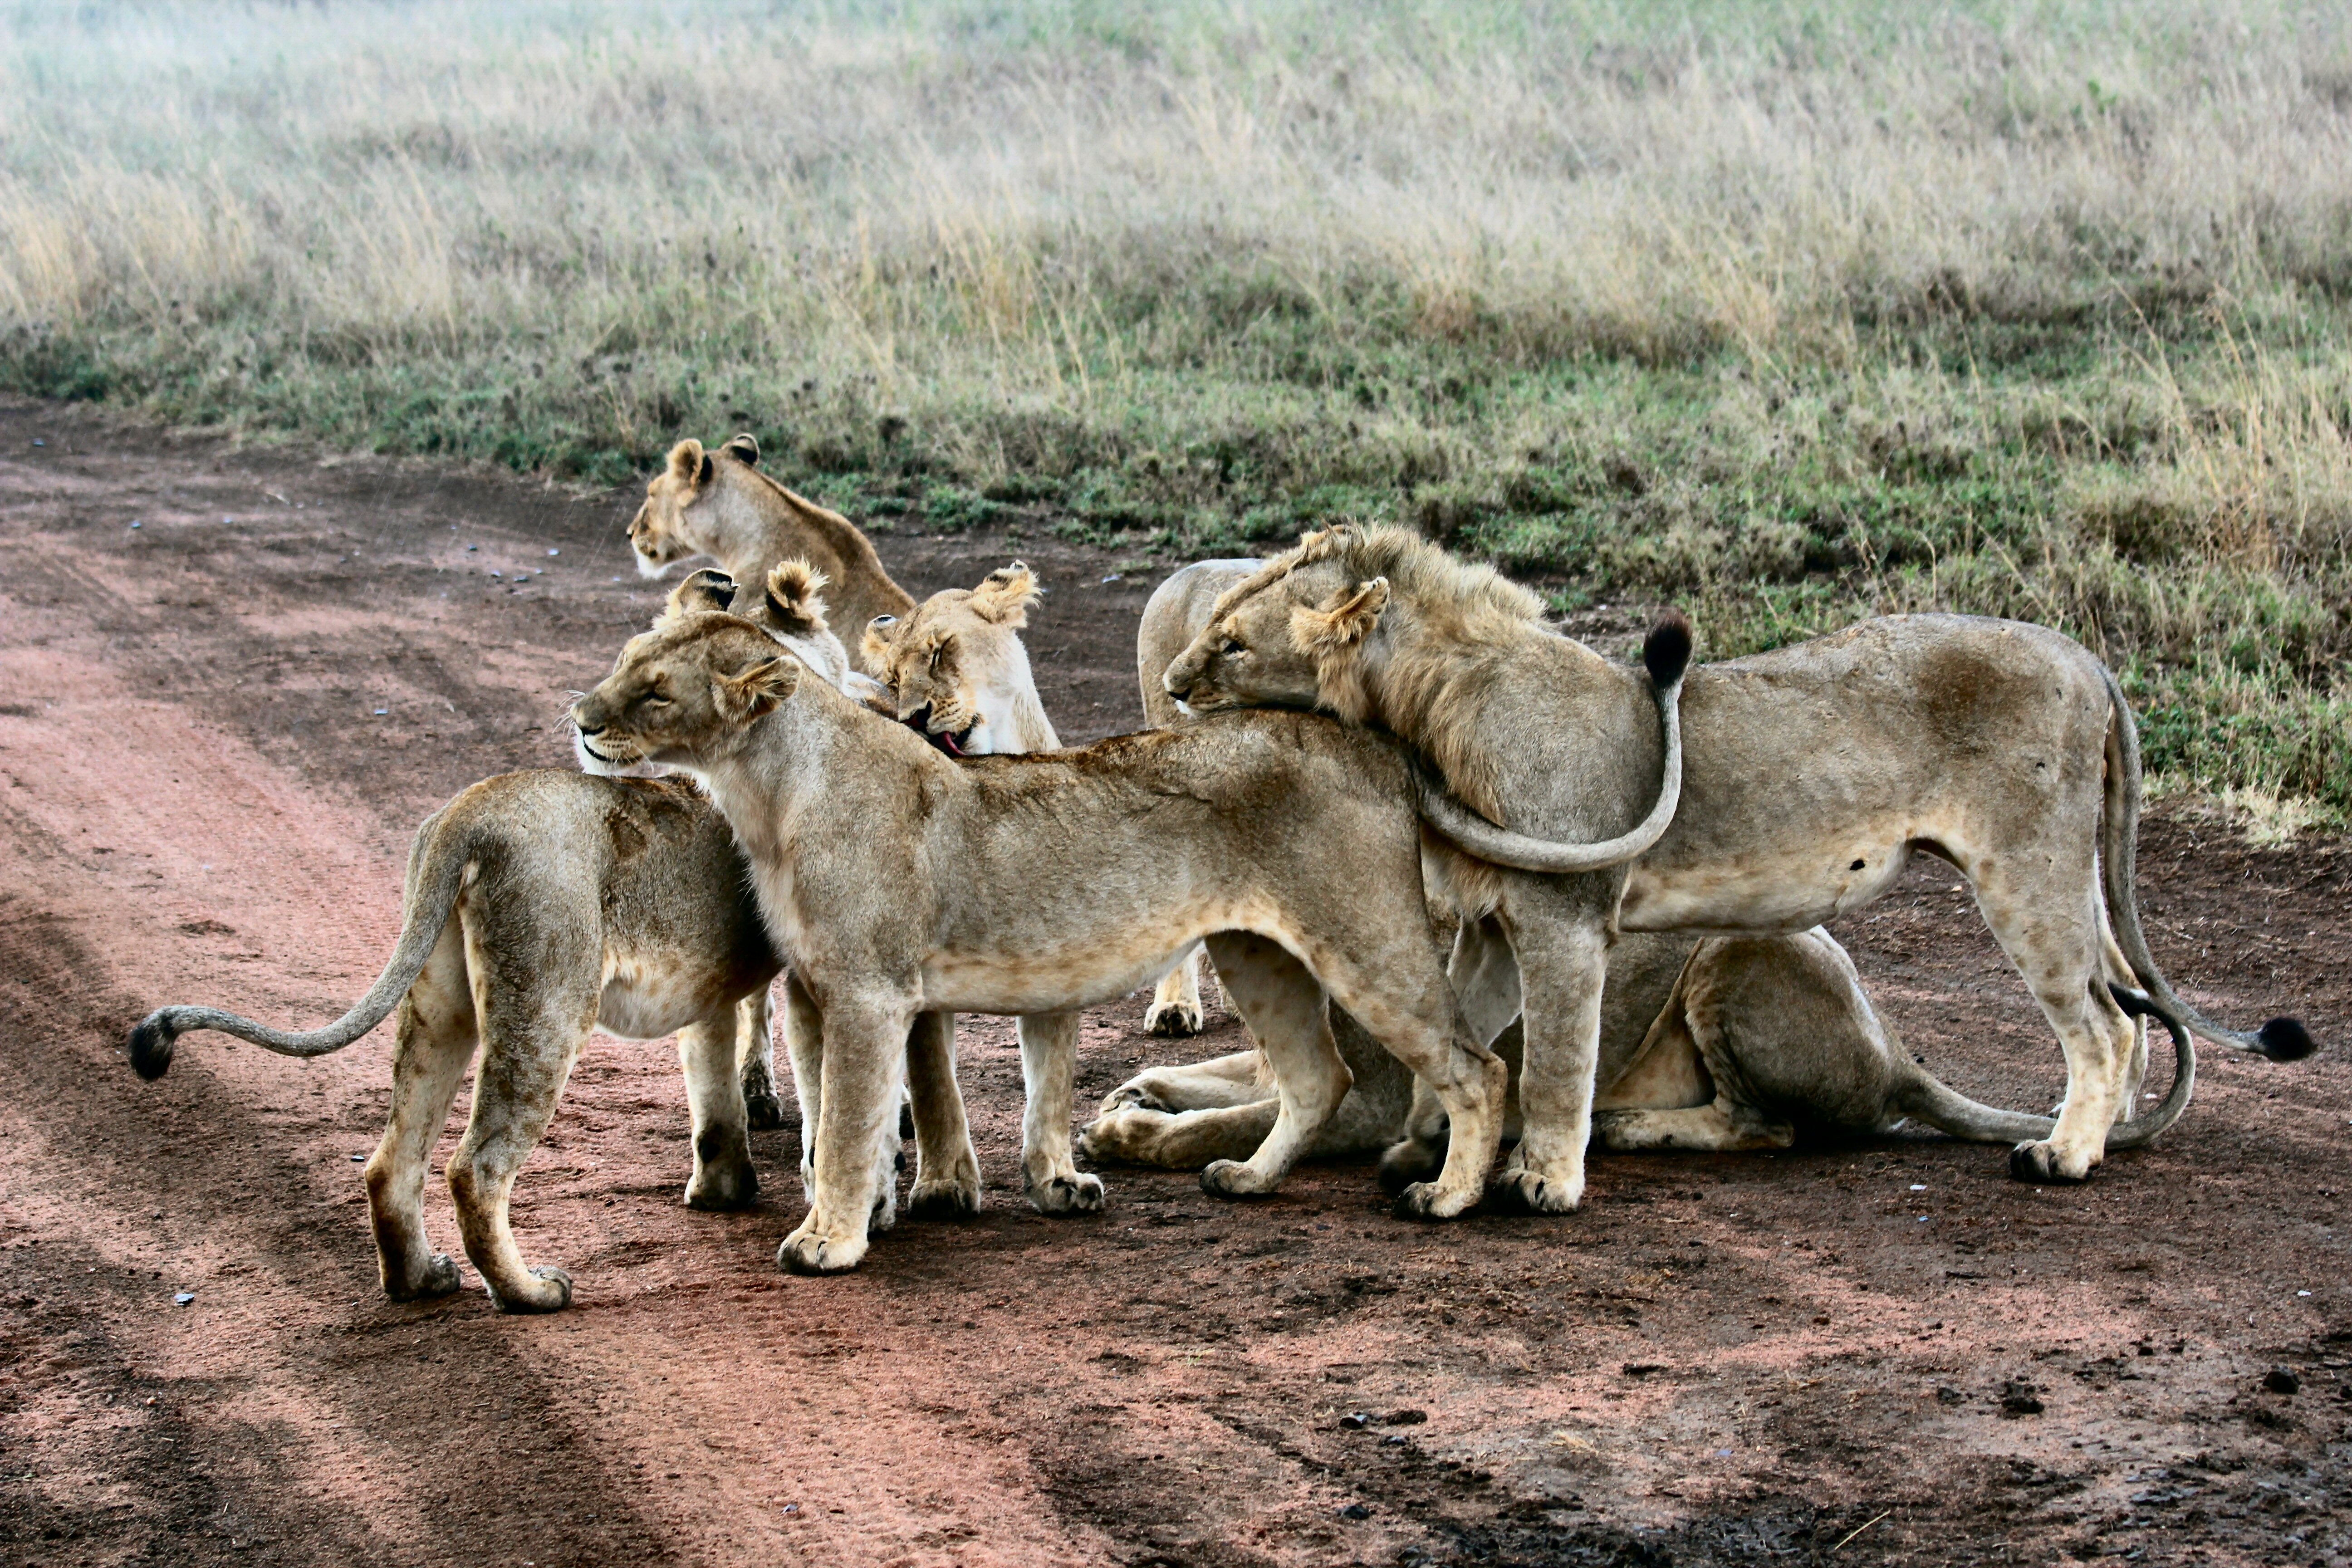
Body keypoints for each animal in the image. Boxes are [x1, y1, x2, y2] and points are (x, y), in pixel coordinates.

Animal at [578, 611, 1514, 1279]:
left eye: (655, 693)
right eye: (623, 661)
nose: (580, 717)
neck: (766, 789)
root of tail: (1371, 743)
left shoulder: (867, 991)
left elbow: (847, 1122)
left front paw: (830, 1241)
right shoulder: (816, 990)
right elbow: (841, 1114)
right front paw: (867, 1210)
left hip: (1365, 938)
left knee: (1475, 1067)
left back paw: (1445, 1195)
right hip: (1260, 954)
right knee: (1320, 1078)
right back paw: (1248, 1177)